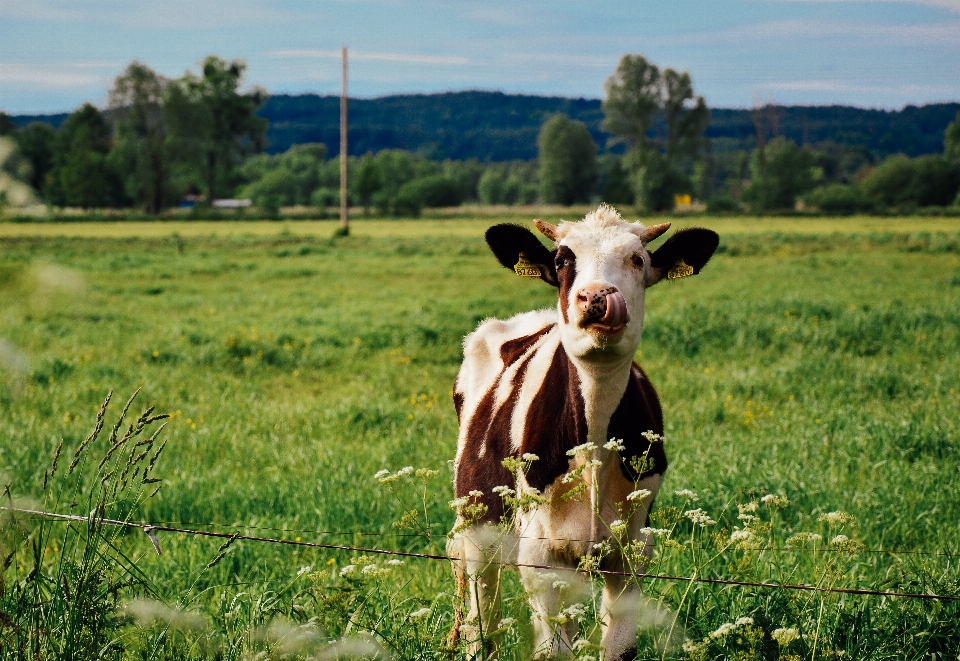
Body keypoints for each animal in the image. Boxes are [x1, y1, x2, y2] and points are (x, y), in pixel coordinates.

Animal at [446, 204, 716, 656]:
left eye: (637, 259)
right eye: (561, 260)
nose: (596, 296)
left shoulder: (631, 552)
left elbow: (618, 647)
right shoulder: (541, 556)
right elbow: (552, 649)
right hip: (478, 529)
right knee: (483, 623)